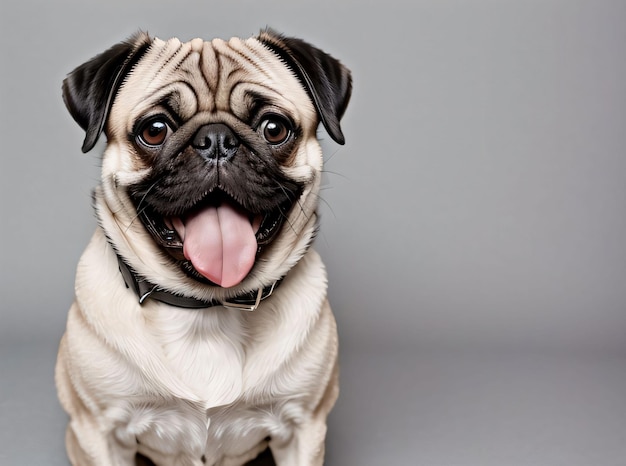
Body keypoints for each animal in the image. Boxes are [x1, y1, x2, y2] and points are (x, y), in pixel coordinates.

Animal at [54, 30, 352, 466]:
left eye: (274, 128)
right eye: (155, 130)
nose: (216, 140)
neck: (207, 308)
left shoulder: (304, 428)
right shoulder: (100, 432)